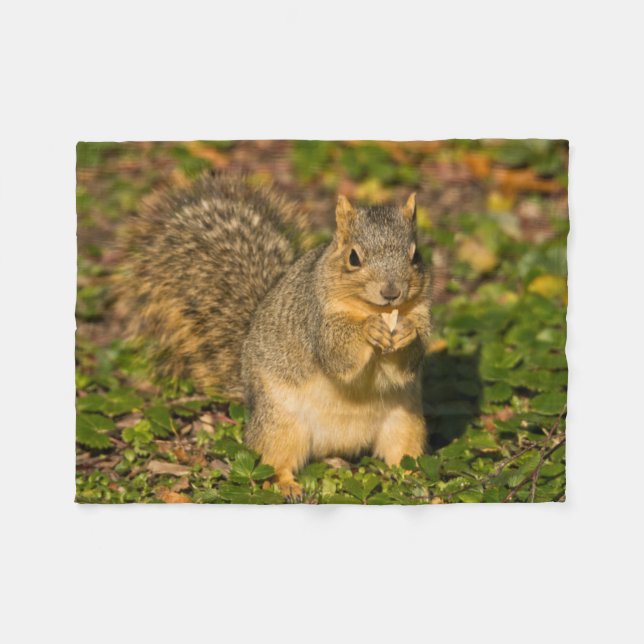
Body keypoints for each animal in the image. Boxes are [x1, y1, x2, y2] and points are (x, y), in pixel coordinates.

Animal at [121, 174, 431, 496]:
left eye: (415, 256)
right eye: (354, 258)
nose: (391, 292)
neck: (373, 309)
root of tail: (338, 445)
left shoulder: (422, 312)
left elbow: (406, 364)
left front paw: (407, 333)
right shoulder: (315, 318)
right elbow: (337, 353)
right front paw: (368, 329)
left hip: (405, 422)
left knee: (401, 454)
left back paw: (414, 477)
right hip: (279, 423)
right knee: (273, 460)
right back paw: (286, 485)